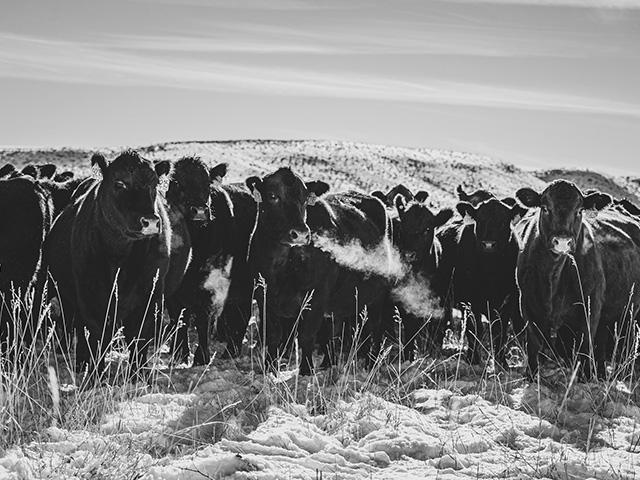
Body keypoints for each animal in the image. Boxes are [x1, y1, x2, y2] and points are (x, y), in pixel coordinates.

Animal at [43, 150, 170, 376]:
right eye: (119, 183)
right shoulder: (90, 296)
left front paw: (138, 376)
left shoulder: (150, 294)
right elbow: (96, 337)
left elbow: (138, 338)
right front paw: (96, 375)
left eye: (155, 183)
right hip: (64, 296)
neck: (120, 259)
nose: (150, 222)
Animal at [245, 167, 392, 375]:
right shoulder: (263, 295)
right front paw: (270, 368)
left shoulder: (317, 297)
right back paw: (328, 363)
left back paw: (371, 363)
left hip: (376, 296)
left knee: (374, 327)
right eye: (273, 196)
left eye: (305, 199)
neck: (282, 266)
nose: (300, 234)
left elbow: (306, 335)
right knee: (335, 328)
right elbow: (273, 334)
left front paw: (306, 370)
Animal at [435, 196, 527, 365]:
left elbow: (500, 331)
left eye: (503, 222)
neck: (490, 272)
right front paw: (472, 358)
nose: (489, 244)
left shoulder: (507, 301)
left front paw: (501, 361)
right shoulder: (469, 300)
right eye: (480, 220)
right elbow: (474, 329)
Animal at [515, 180, 640, 378]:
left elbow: (584, 346)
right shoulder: (527, 305)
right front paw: (531, 375)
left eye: (579, 210)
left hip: (629, 312)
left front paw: (584, 377)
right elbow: (533, 346)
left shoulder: (590, 307)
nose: (562, 241)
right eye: (545, 208)